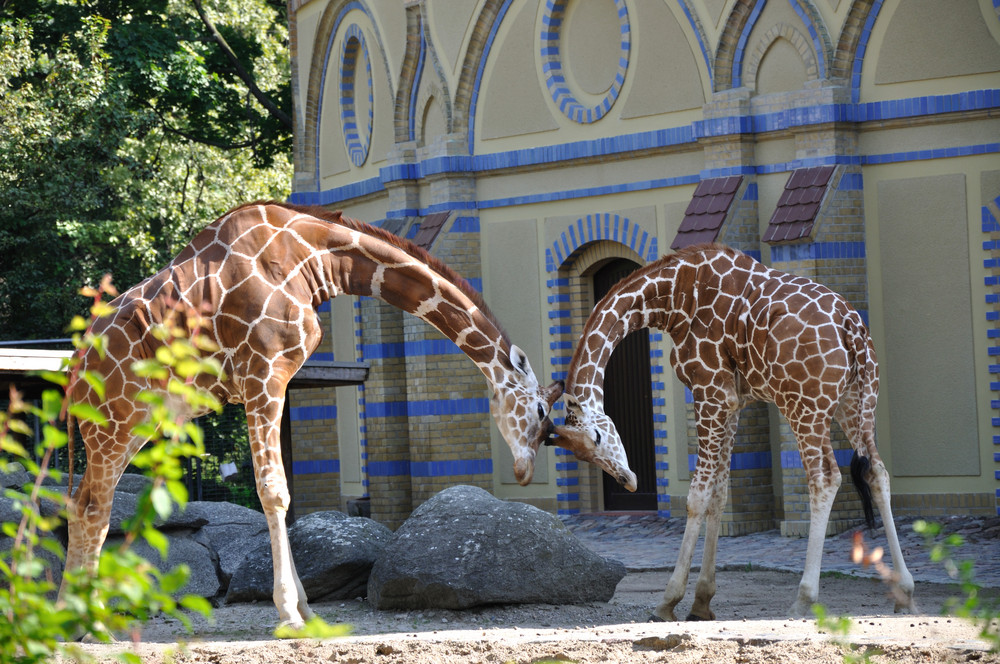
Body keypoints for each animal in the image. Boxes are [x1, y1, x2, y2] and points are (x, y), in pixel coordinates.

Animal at [60, 201, 564, 628]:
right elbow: (275, 492)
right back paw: (89, 618)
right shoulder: (263, 375)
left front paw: (304, 607)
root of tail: (74, 368)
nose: (524, 472)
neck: (313, 259)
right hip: (115, 423)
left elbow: (286, 496)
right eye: (541, 411)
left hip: (132, 424)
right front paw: (289, 613)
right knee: (95, 505)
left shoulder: (274, 380)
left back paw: (75, 614)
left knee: (83, 501)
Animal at [552, 245, 916, 624]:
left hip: (805, 405)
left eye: (597, 438)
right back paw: (904, 592)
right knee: (877, 472)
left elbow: (697, 496)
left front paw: (668, 602)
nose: (629, 481)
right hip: (856, 400)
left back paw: (803, 599)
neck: (672, 297)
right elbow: (720, 494)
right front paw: (701, 602)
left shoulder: (708, 391)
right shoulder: (733, 401)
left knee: (825, 478)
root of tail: (852, 328)